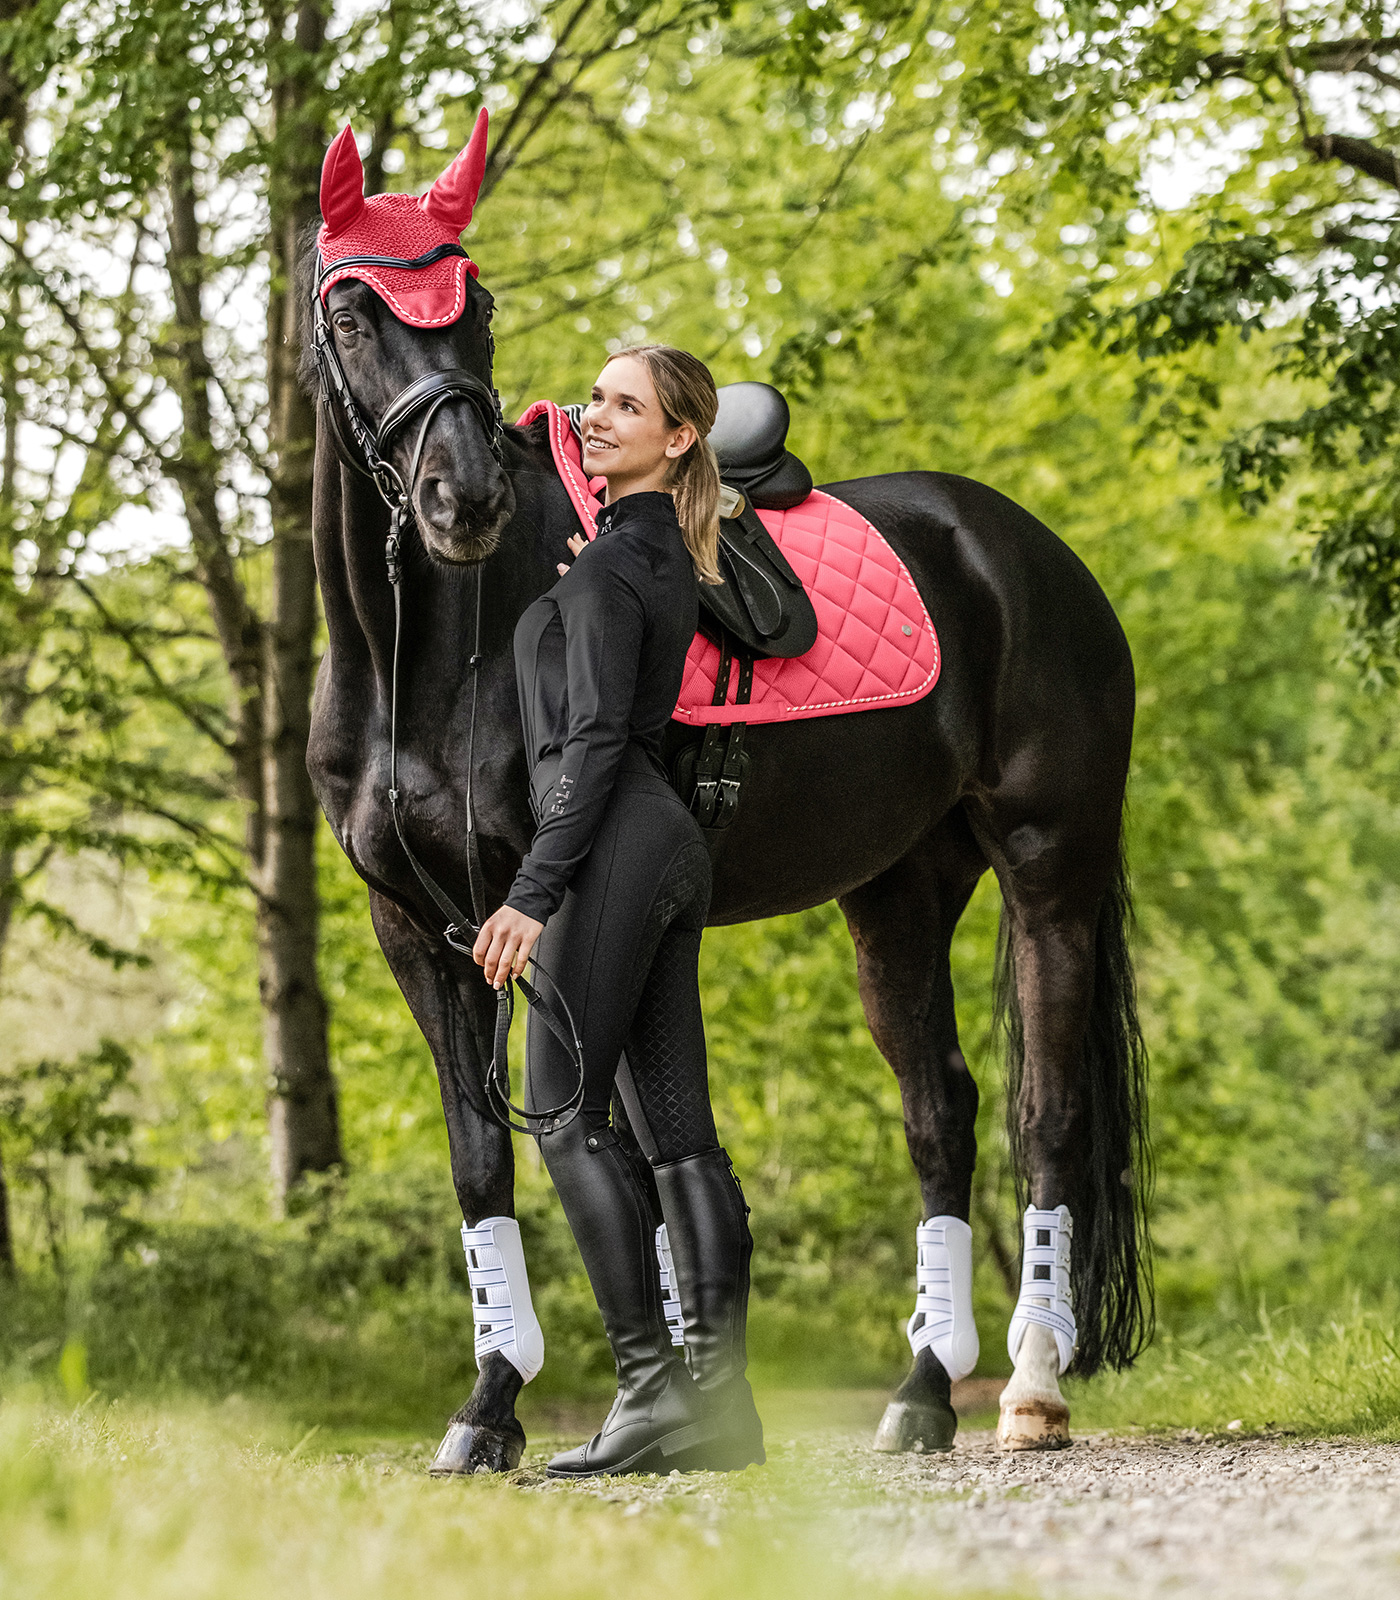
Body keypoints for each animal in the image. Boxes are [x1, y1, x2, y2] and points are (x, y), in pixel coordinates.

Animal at [304, 219, 1152, 1465]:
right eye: (354, 317)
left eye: (481, 308)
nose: (461, 499)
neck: (432, 652)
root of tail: (1026, 550)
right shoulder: (416, 930)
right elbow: (486, 1161)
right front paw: (492, 1403)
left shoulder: (550, 920)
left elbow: (612, 1151)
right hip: (896, 891)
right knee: (940, 1111)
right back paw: (919, 1391)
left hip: (1051, 867)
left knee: (1048, 1114)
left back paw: (1030, 1387)